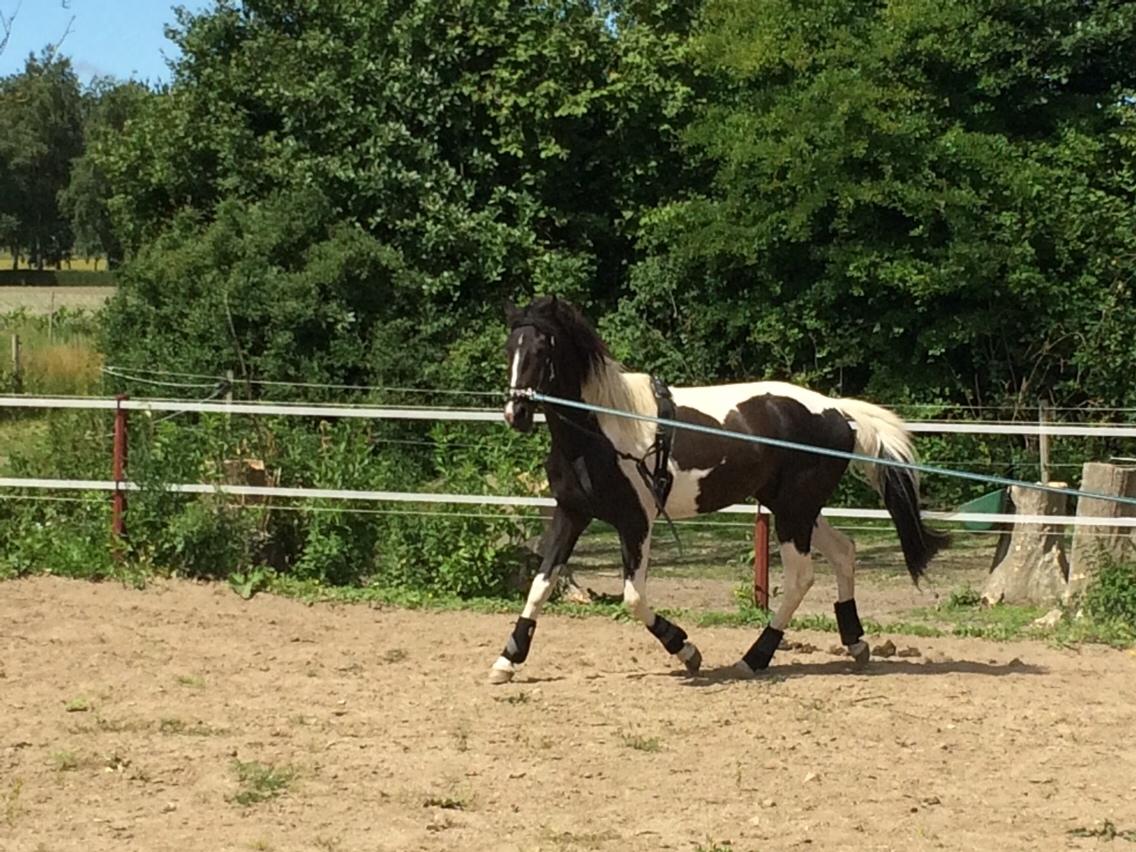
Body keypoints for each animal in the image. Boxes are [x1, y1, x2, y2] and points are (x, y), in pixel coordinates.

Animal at [493, 297, 945, 686]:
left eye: (544, 348)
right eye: (510, 347)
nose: (516, 413)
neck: (601, 429)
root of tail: (839, 412)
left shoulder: (636, 521)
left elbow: (633, 598)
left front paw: (686, 650)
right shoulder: (572, 513)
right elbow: (541, 585)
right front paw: (507, 660)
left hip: (794, 512)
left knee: (801, 577)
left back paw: (755, 658)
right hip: (795, 507)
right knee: (844, 552)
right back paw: (855, 643)